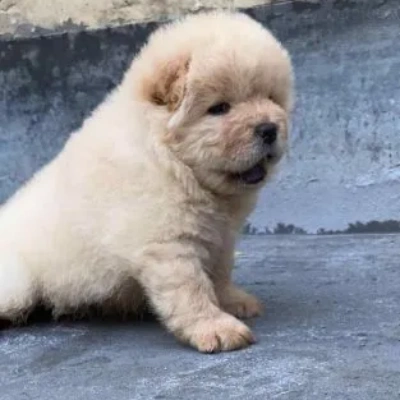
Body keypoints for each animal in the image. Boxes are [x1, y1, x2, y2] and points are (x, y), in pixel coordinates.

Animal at [0, 10, 294, 352]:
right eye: (219, 108)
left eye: (270, 98)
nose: (269, 128)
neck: (173, 161)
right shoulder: (167, 241)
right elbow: (191, 288)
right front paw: (215, 328)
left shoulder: (220, 237)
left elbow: (219, 273)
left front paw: (234, 301)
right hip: (17, 284)